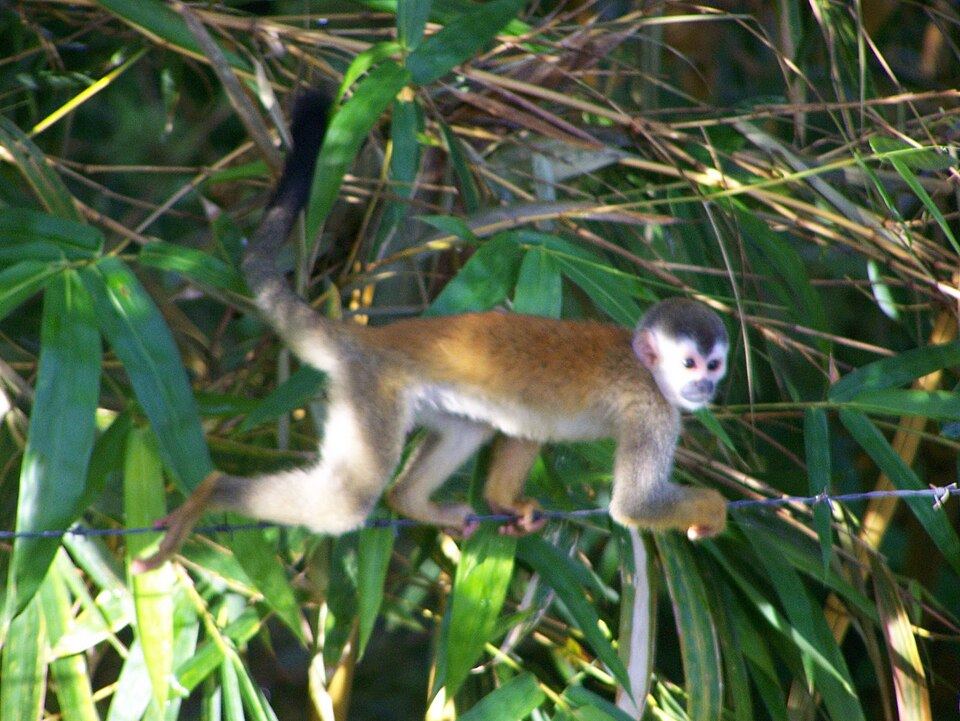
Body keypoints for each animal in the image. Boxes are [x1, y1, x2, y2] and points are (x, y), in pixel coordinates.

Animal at [132, 91, 729, 573]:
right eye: (689, 364)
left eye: (715, 364)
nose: (706, 387)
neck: (645, 368)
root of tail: (370, 339)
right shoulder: (655, 412)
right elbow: (632, 507)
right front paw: (711, 509)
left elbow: (525, 431)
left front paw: (505, 502)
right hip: (372, 394)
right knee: (346, 503)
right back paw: (215, 491)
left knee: (470, 429)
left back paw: (410, 503)